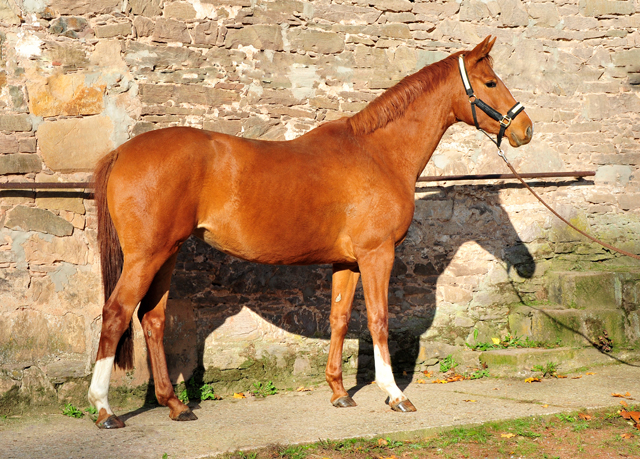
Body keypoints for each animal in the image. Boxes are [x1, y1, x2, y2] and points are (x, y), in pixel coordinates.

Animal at [87, 35, 532, 428]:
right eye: (490, 83)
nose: (524, 129)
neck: (378, 154)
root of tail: (121, 151)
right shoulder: (377, 254)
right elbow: (378, 319)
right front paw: (395, 395)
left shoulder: (347, 262)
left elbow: (339, 318)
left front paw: (339, 392)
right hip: (146, 256)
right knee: (116, 313)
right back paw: (105, 409)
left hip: (168, 253)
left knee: (152, 318)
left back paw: (175, 405)